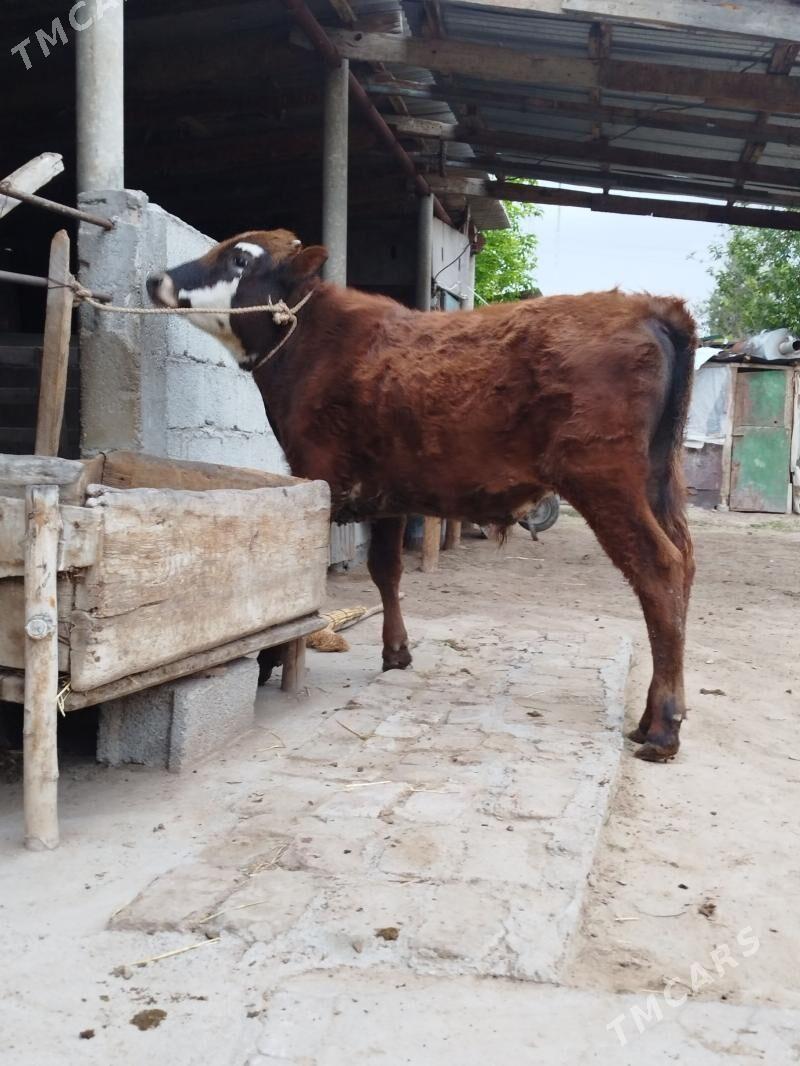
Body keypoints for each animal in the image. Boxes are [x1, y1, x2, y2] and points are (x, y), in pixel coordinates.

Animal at [147, 229, 696, 761]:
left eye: (240, 259)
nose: (156, 278)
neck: (316, 343)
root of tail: (648, 306)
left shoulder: (317, 484)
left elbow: (301, 590)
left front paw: (268, 662)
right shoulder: (387, 495)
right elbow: (385, 571)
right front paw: (396, 652)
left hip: (604, 482)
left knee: (660, 570)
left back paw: (664, 727)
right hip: (658, 484)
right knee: (684, 567)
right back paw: (650, 716)